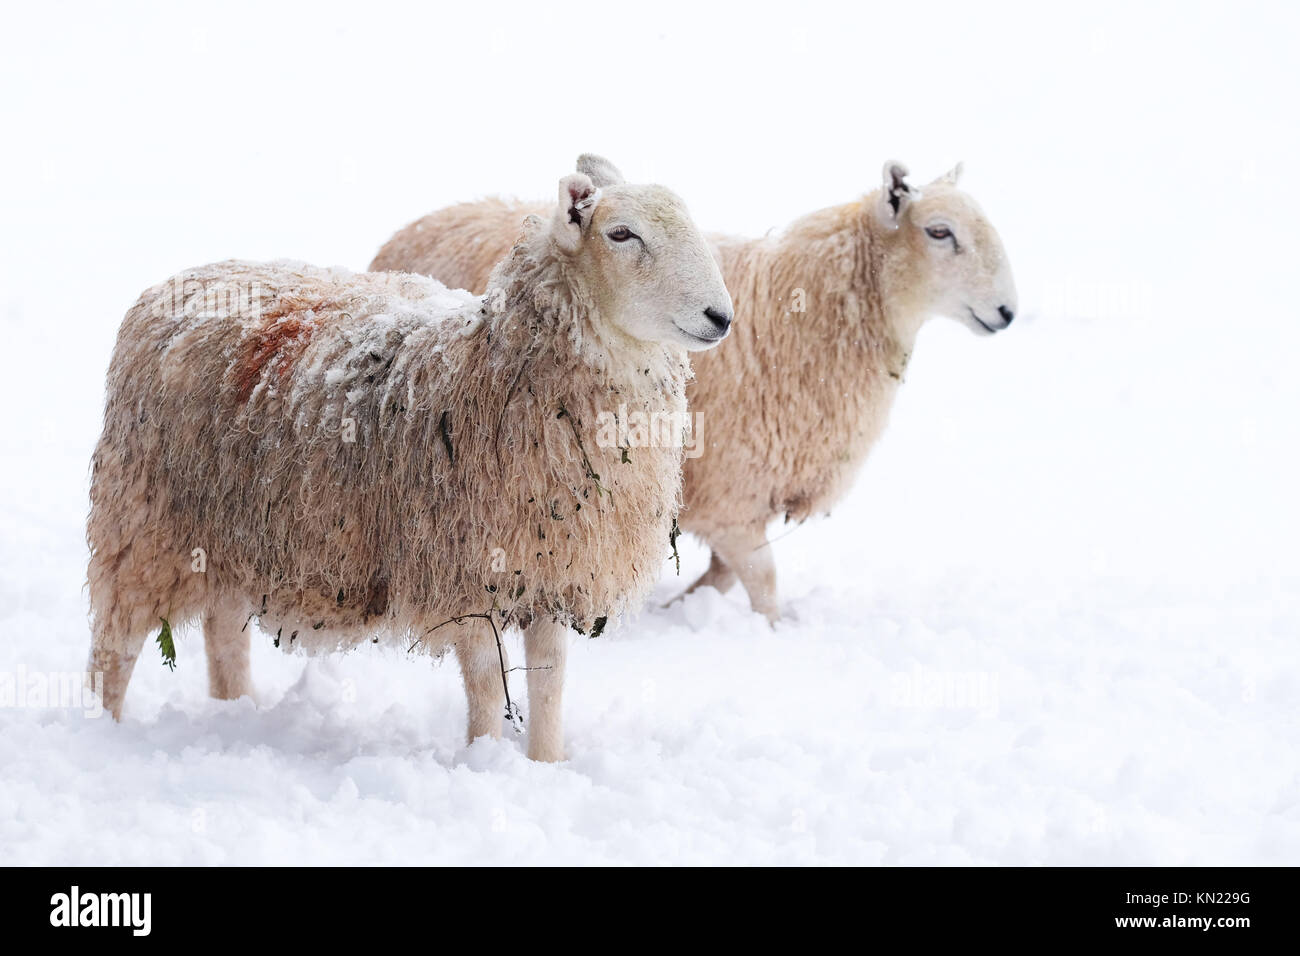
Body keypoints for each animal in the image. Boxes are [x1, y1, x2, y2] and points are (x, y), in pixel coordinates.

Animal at [86, 166, 738, 764]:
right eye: (621, 233)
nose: (720, 317)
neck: (493, 369)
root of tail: (176, 281)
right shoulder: (464, 572)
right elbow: (485, 682)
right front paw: (484, 759)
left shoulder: (554, 569)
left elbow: (551, 680)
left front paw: (545, 763)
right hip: (143, 521)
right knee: (113, 648)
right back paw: (103, 734)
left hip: (231, 533)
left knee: (223, 636)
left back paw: (237, 714)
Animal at [366, 155, 1013, 621]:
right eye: (939, 232)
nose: (1008, 312)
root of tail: (418, 225)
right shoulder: (731, 494)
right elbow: (762, 581)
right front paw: (770, 631)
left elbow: (727, 576)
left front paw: (686, 606)